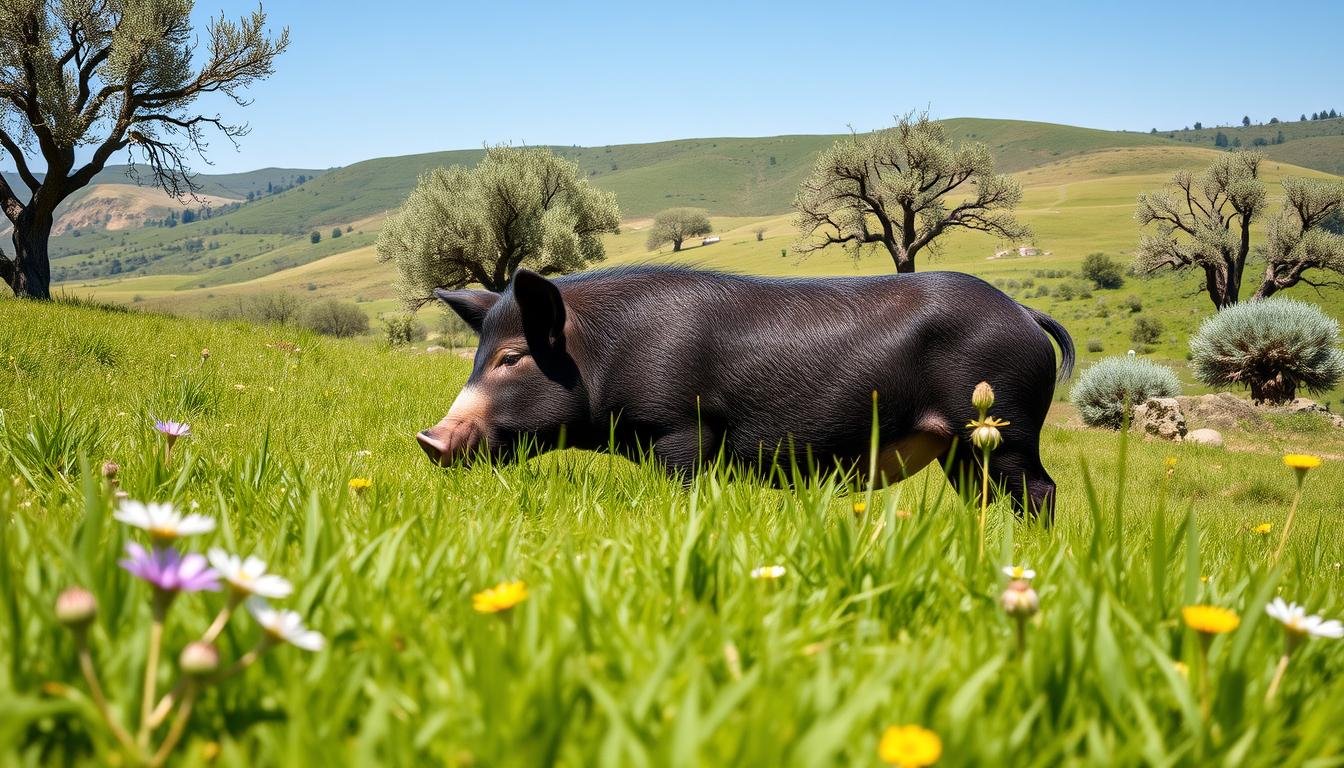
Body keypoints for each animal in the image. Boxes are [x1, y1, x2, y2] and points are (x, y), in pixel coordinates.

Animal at [413, 267, 1075, 519]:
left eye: (512, 357)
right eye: (478, 357)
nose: (428, 438)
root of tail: (1024, 313)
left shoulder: (681, 427)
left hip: (1006, 424)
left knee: (1043, 489)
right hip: (962, 447)